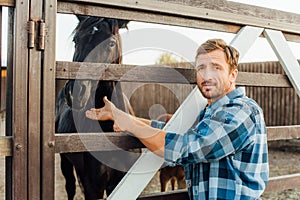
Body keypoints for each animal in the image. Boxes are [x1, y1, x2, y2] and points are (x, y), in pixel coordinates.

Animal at [55, 16, 138, 200]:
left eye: (111, 43)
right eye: (76, 40)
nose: (74, 92)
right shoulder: (94, 187)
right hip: (65, 162)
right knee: (70, 187)